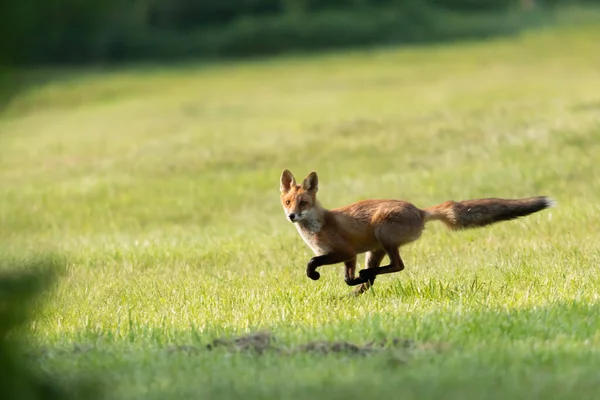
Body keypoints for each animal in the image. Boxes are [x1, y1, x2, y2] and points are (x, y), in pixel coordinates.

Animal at [278, 167, 556, 292]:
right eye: (288, 202)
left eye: (304, 203)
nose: (292, 216)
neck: (318, 226)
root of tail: (420, 210)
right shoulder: (351, 256)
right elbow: (347, 277)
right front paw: (354, 281)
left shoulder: (344, 251)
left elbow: (313, 261)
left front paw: (313, 274)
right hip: (374, 250)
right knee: (380, 271)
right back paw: (362, 284)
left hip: (382, 235)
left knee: (398, 266)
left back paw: (366, 278)